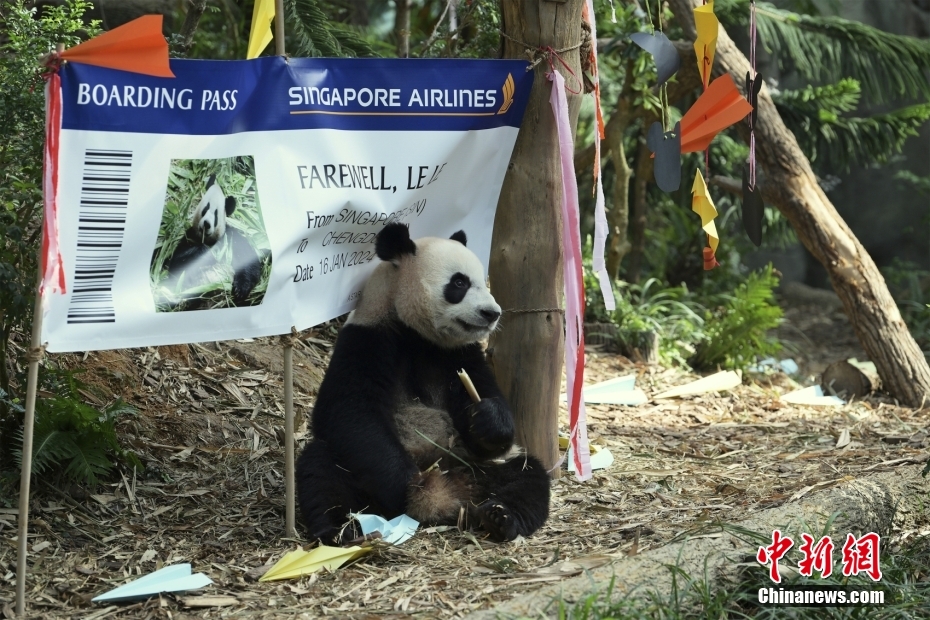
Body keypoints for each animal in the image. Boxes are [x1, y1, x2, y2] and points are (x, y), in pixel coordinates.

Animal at [161, 174, 262, 308]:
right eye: (205, 210)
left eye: (215, 214)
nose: (206, 224)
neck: (208, 240)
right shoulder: (189, 237)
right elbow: (176, 263)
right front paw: (207, 253)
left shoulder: (230, 237)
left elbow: (249, 260)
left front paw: (240, 289)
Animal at [294, 223, 548, 544]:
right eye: (459, 283)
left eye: (482, 281)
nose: (492, 313)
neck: (417, 333)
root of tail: (459, 495)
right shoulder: (367, 340)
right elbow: (350, 412)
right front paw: (408, 487)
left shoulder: (461, 355)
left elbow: (484, 403)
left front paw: (488, 419)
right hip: (356, 470)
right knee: (322, 470)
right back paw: (343, 530)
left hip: (478, 468)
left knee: (528, 475)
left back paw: (500, 517)